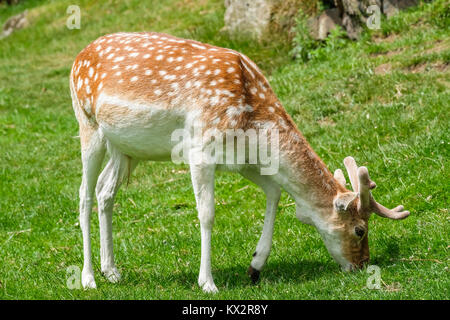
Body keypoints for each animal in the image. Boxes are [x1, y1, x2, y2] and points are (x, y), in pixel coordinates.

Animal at [68, 31, 410, 292]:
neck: (251, 124)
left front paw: (255, 266)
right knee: (84, 193)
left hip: (127, 149)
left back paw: (112, 271)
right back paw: (88, 278)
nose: (362, 265)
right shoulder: (200, 150)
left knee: (105, 190)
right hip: (88, 125)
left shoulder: (242, 159)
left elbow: (275, 192)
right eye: (360, 230)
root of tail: (77, 57)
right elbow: (207, 214)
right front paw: (207, 283)